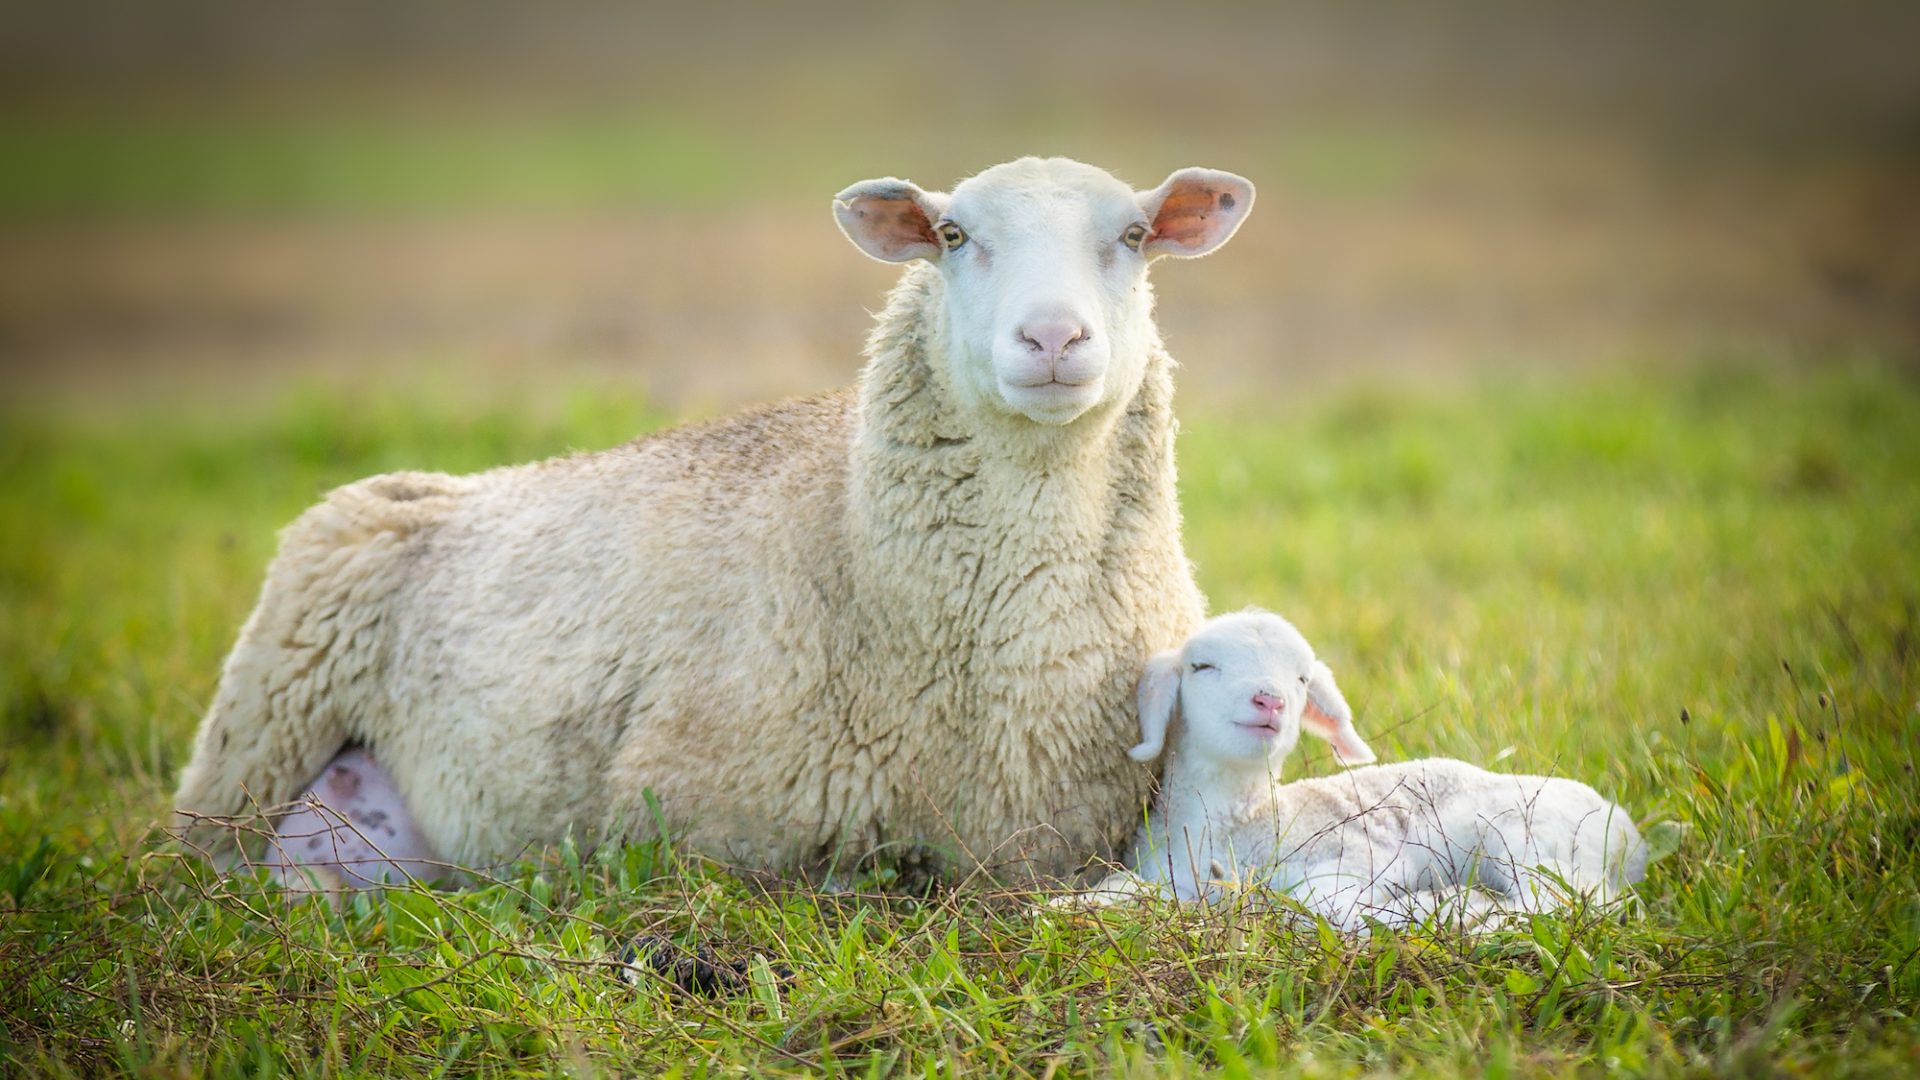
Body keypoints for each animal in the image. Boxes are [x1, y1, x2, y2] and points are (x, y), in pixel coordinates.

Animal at [1082, 611, 1651, 930]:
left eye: (1302, 679)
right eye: (1201, 666)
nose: (1270, 700)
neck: (1241, 821)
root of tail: (1629, 836)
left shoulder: (1355, 857)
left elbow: (1317, 902)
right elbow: (1120, 890)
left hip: (1529, 839)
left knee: (1566, 903)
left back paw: (1459, 909)